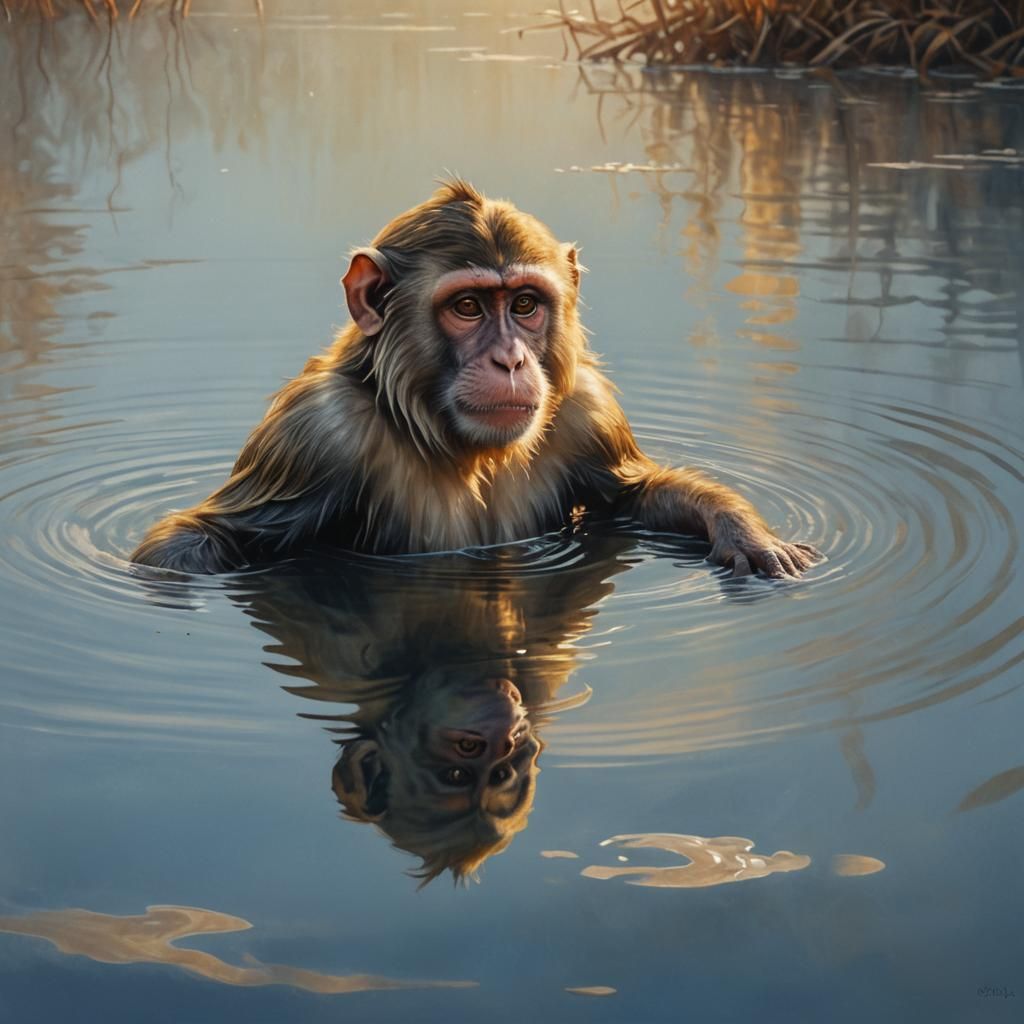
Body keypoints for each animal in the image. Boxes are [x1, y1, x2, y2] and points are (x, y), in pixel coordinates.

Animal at [131, 179, 820, 578]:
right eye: (467, 307)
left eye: (524, 305)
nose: (510, 360)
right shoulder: (315, 432)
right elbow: (201, 540)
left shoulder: (588, 410)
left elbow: (636, 493)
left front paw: (743, 530)